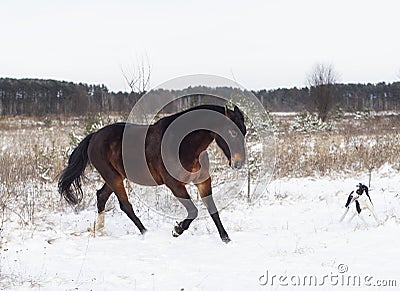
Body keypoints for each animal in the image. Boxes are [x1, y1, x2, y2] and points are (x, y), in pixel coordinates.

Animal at [58, 105, 247, 244]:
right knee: (125, 205)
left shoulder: (203, 182)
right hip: (113, 177)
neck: (184, 145)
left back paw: (100, 228)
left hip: (115, 177)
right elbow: (193, 211)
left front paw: (226, 238)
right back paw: (145, 232)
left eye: (243, 131)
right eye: (231, 132)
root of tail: (94, 136)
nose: (238, 163)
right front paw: (177, 230)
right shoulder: (175, 185)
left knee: (101, 196)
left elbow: (213, 210)